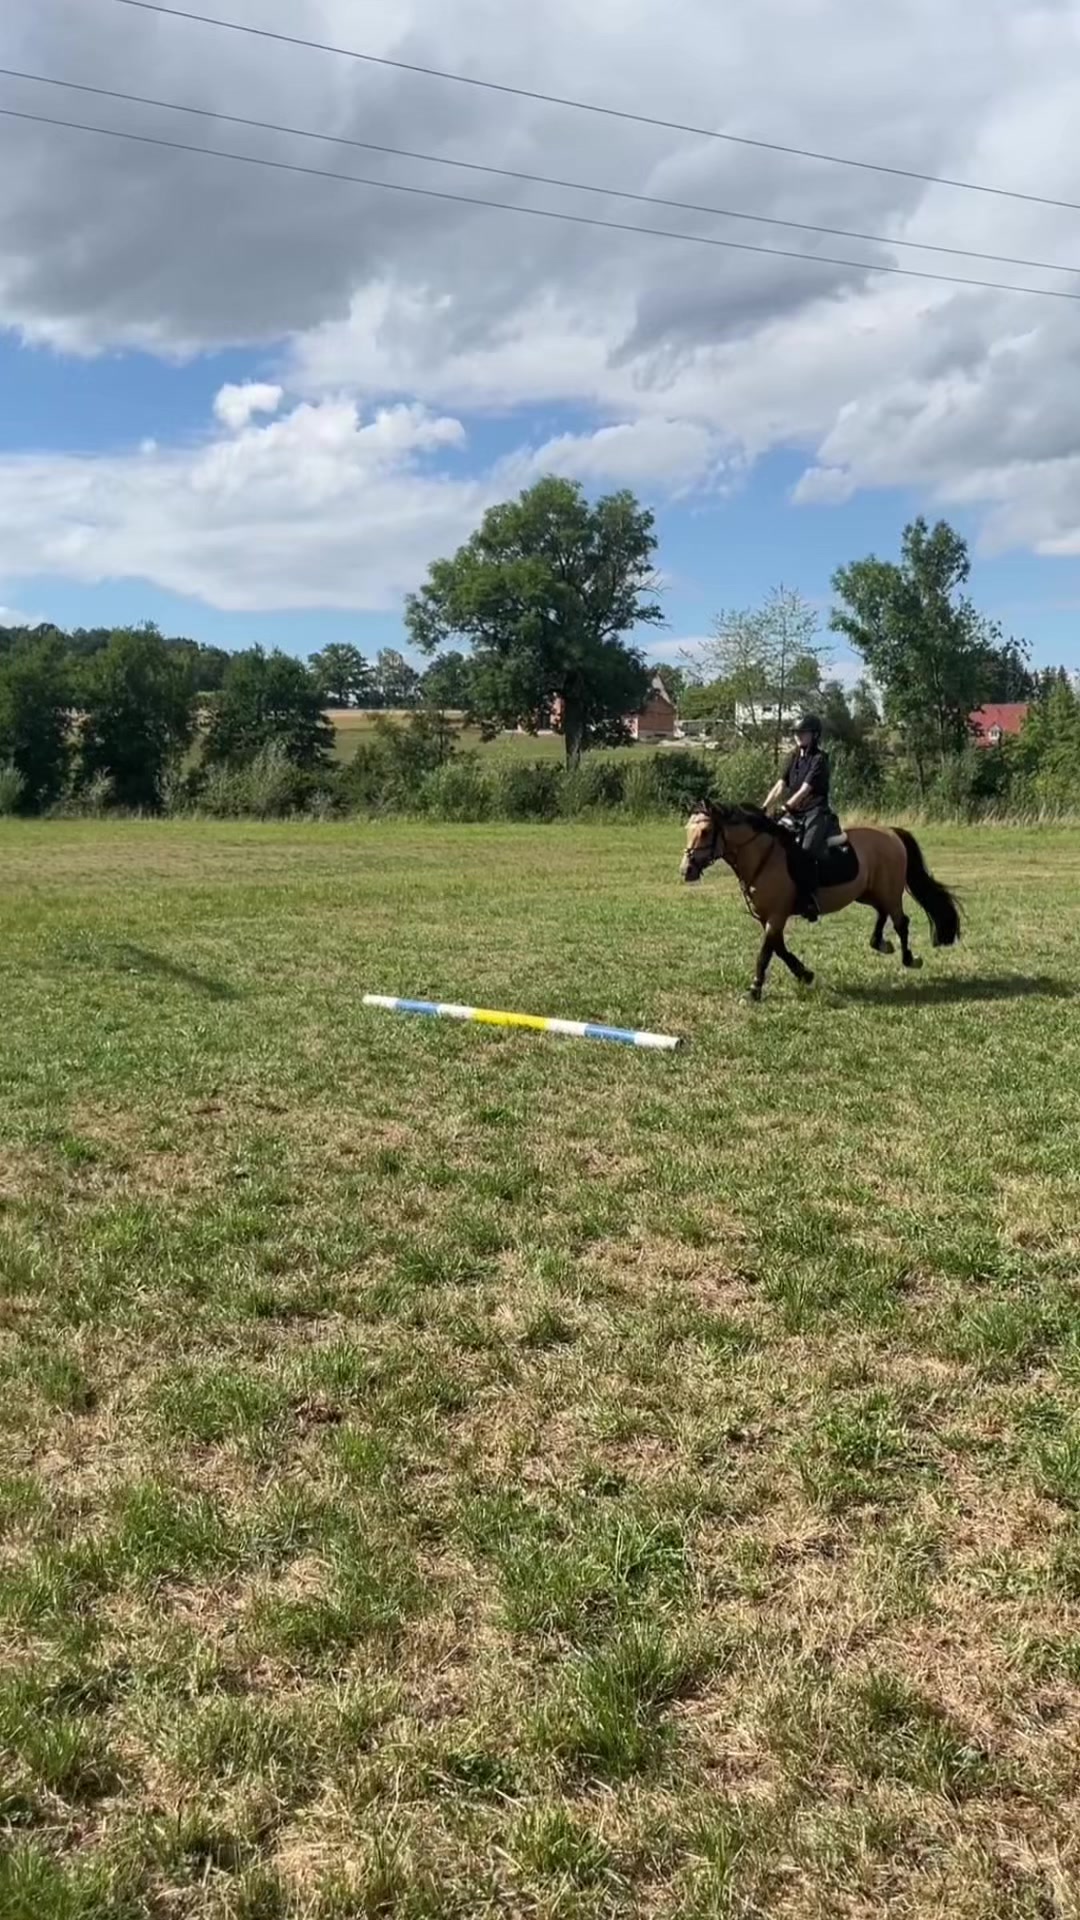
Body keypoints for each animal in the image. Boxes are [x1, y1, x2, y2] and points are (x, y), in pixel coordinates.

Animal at [680, 803, 961, 1000]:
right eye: (688, 831)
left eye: (705, 831)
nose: (686, 870)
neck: (763, 857)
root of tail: (891, 833)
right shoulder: (767, 917)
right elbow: (779, 948)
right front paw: (805, 974)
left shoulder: (776, 916)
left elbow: (765, 953)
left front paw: (754, 990)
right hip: (867, 892)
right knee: (883, 913)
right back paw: (880, 943)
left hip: (890, 891)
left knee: (901, 922)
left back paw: (909, 959)